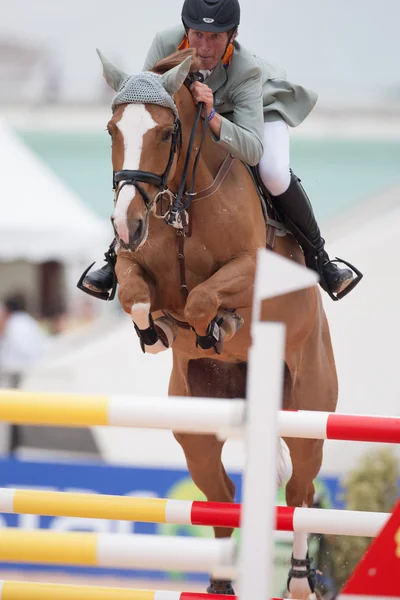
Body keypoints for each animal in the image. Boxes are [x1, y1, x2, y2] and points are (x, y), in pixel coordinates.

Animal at [98, 48, 336, 600]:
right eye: (112, 130)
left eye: (166, 132)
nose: (125, 223)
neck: (181, 202)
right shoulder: (133, 263)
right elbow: (136, 294)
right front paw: (156, 333)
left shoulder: (251, 271)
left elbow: (205, 297)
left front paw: (215, 325)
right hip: (196, 428)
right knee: (221, 495)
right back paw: (222, 582)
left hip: (308, 411)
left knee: (300, 491)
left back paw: (299, 579)